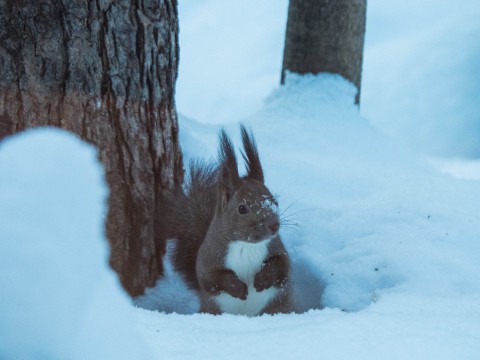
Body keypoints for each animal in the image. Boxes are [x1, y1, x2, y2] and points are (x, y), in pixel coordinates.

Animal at [162, 124, 292, 316]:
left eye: (275, 201)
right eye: (242, 208)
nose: (274, 225)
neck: (245, 245)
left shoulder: (276, 248)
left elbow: (282, 265)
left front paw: (261, 279)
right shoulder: (207, 256)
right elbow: (209, 277)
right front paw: (238, 287)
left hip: (278, 307)